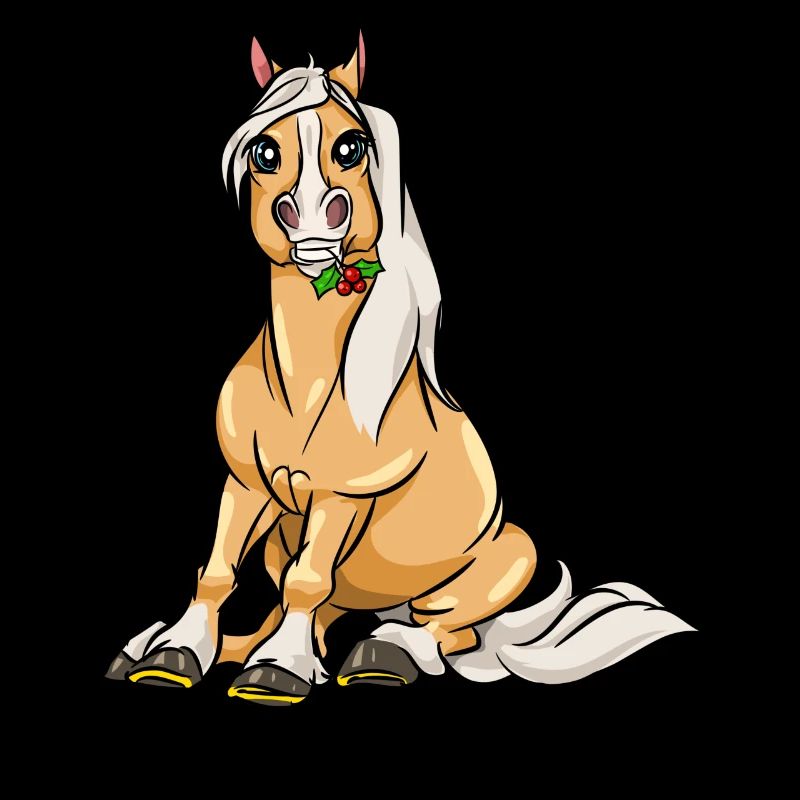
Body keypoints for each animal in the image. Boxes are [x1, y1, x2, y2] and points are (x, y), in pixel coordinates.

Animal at [105, 34, 693, 704]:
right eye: (264, 150)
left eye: (350, 146)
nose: (312, 219)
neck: (309, 382)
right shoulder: (247, 484)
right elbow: (220, 570)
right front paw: (174, 653)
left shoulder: (342, 495)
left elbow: (308, 582)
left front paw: (278, 672)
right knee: (325, 612)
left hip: (505, 560)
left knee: (442, 630)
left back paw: (384, 653)